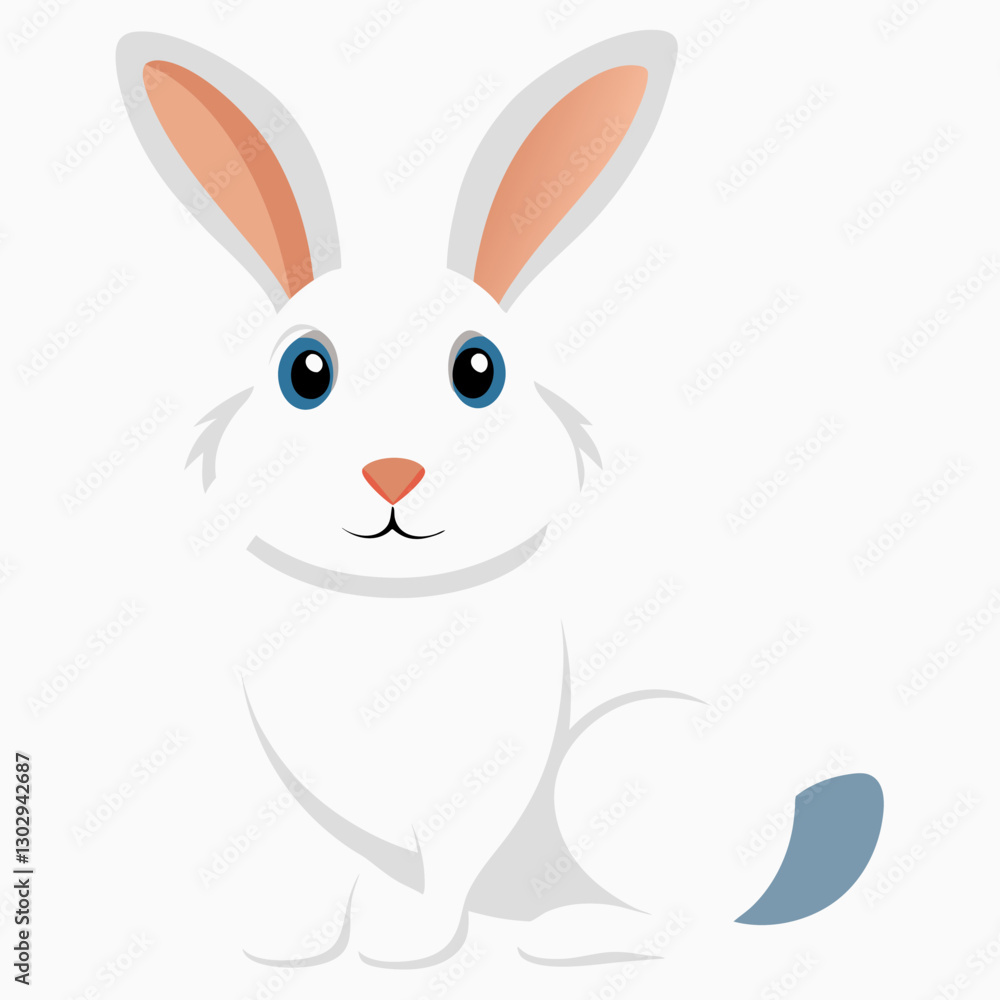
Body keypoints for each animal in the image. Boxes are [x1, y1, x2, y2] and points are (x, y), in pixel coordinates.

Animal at [114, 28, 883, 970]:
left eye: (478, 370)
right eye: (306, 372)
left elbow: (439, 872)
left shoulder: (479, 790)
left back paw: (565, 936)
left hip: (614, 774)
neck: (392, 601)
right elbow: (321, 857)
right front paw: (289, 945)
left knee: (689, 913)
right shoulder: (305, 786)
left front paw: (404, 950)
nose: (394, 473)